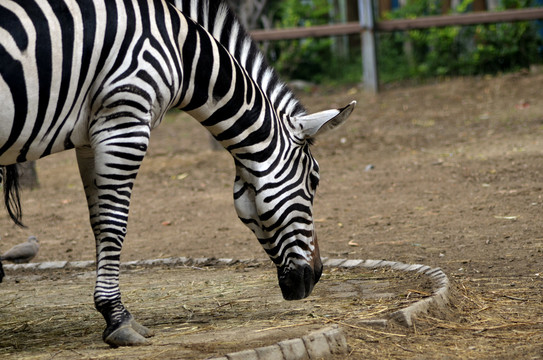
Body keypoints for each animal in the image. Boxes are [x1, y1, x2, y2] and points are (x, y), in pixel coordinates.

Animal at [0, 0, 354, 348]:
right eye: (314, 181)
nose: (316, 274)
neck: (184, 50)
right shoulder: (125, 121)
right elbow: (115, 223)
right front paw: (118, 319)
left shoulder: (90, 137)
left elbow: (99, 223)